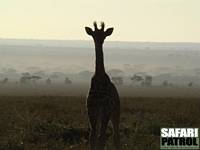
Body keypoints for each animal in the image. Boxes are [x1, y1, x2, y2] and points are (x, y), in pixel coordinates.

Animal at [84, 21, 120, 150]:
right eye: (94, 35)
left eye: (103, 35)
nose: (100, 41)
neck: (99, 76)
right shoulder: (93, 110)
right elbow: (95, 136)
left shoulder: (101, 110)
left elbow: (99, 137)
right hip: (105, 112)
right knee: (103, 134)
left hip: (112, 111)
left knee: (112, 134)